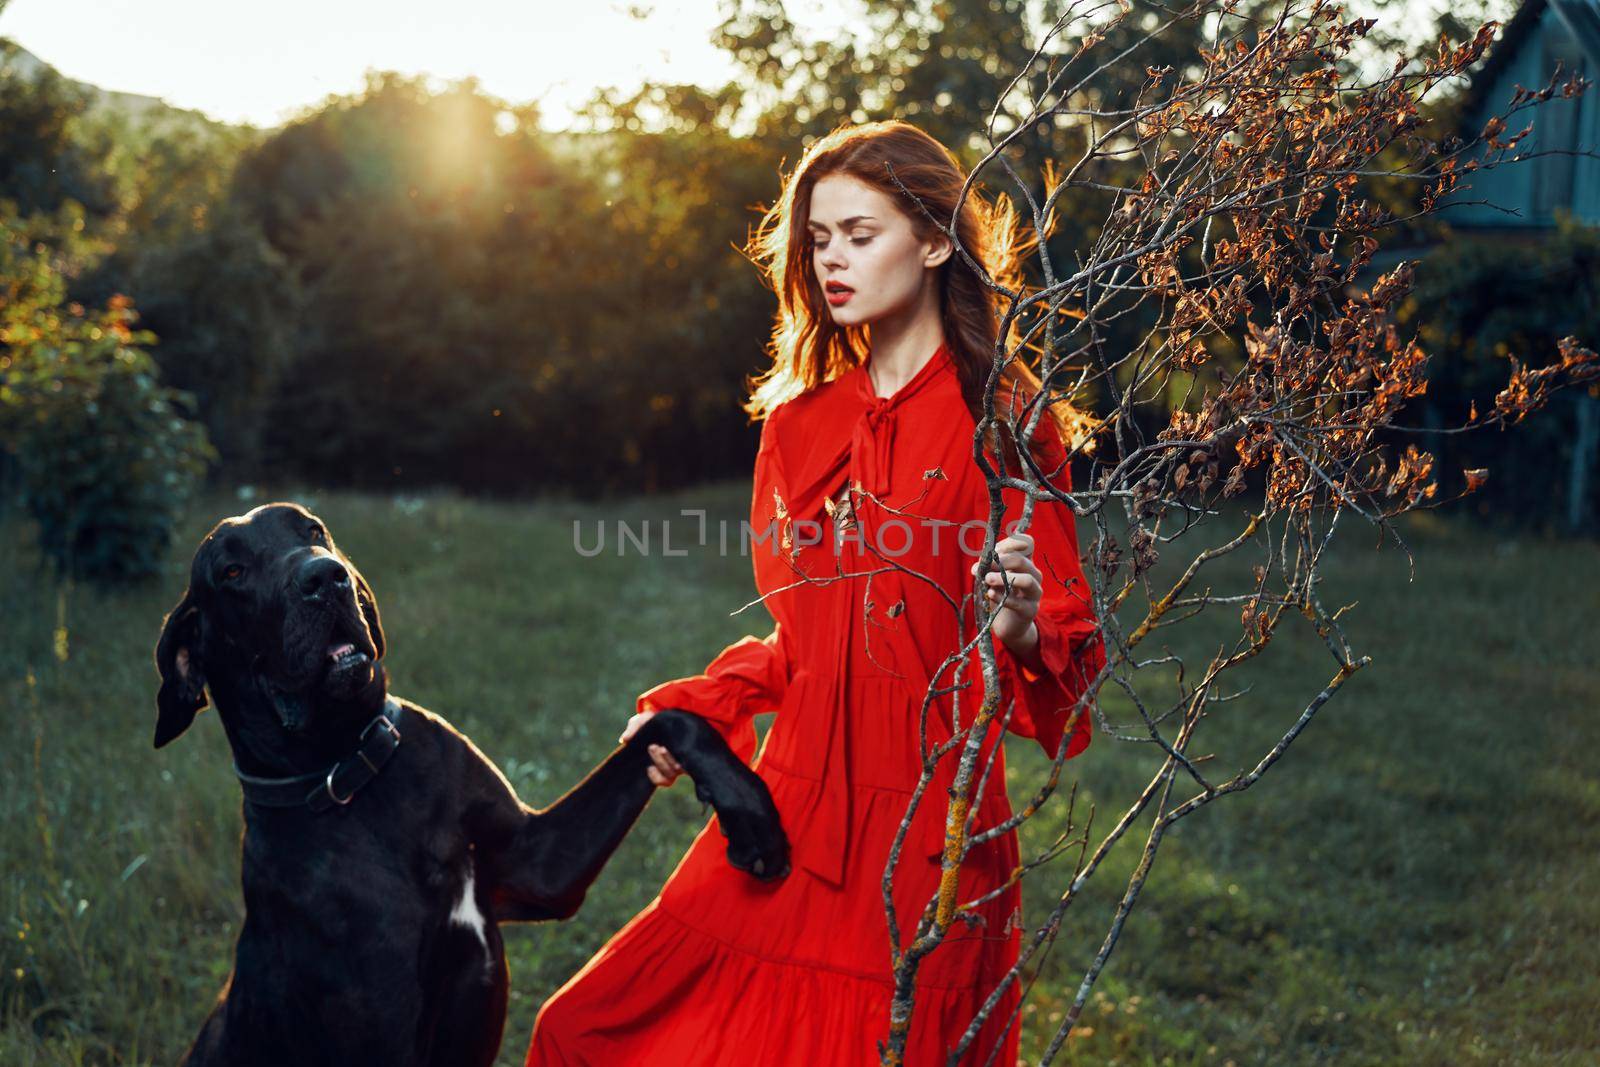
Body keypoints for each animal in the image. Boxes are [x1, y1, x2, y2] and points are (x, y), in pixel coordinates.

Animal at [152, 502, 790, 1067]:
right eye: (231, 572)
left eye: (313, 529)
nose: (324, 576)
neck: (355, 767)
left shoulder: (538, 863)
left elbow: (671, 721)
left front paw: (752, 816)